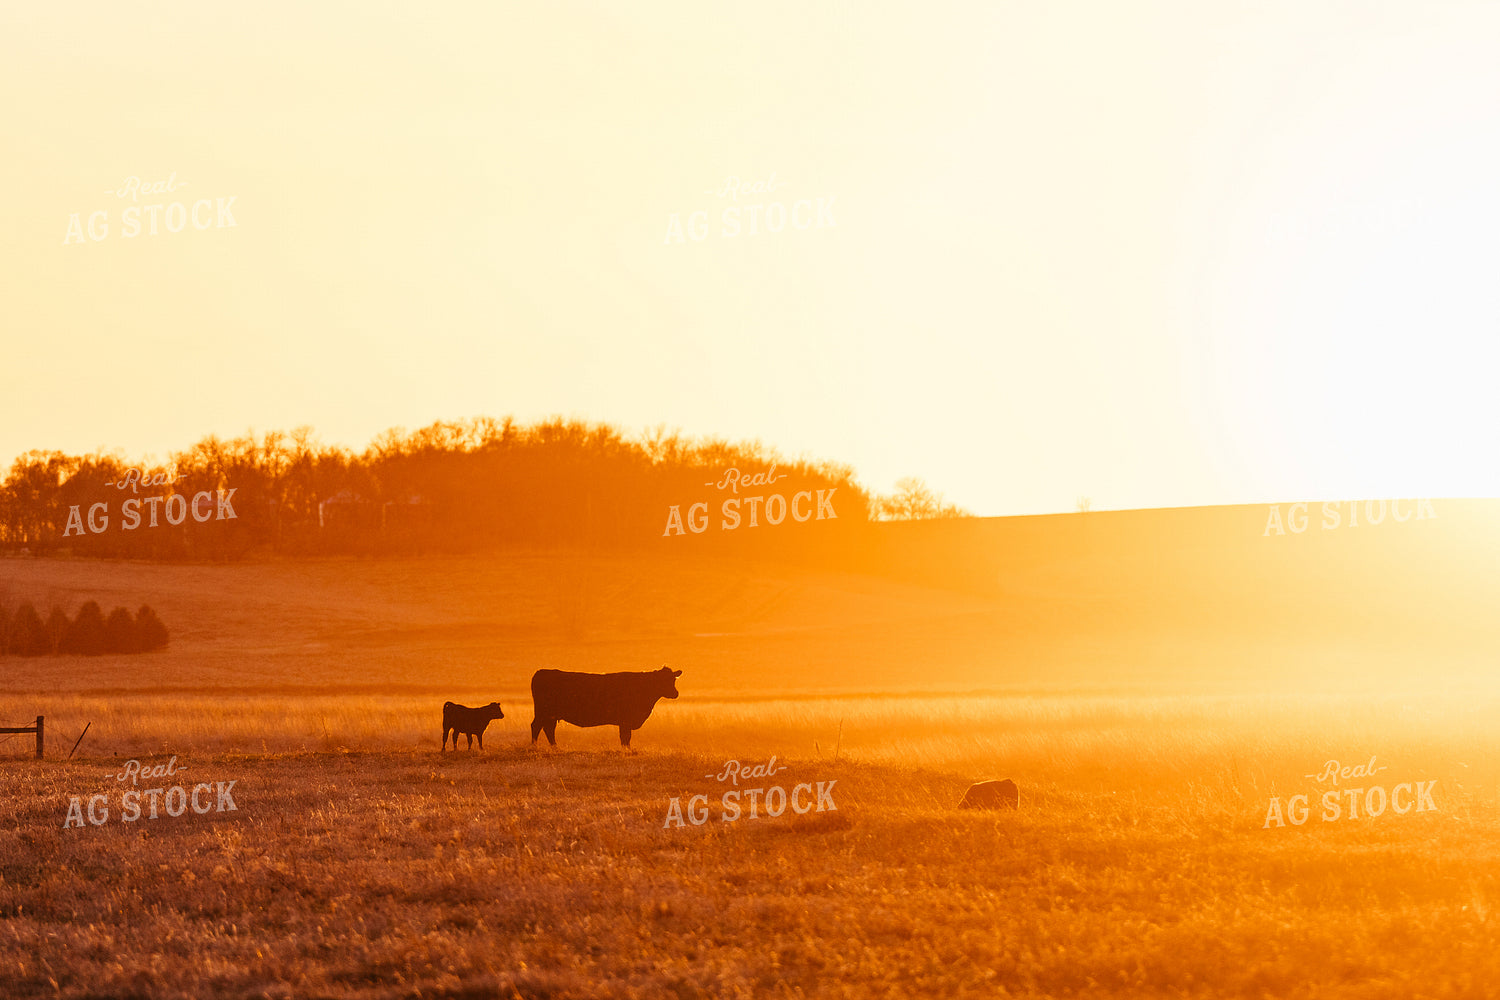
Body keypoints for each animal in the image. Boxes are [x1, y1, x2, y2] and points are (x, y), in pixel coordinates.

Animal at [530, 665, 681, 748]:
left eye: (673, 679)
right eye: (663, 680)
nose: (676, 693)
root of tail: (541, 671)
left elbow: (625, 737)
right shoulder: (625, 720)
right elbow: (625, 737)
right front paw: (627, 750)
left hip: (550, 714)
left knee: (548, 729)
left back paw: (555, 747)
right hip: (543, 711)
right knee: (537, 726)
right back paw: (535, 747)